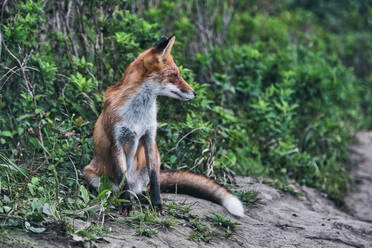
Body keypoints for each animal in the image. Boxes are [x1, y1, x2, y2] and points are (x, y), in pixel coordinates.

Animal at [83, 35, 244, 217]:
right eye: (174, 75)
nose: (195, 93)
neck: (138, 114)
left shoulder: (150, 138)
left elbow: (155, 180)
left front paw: (157, 205)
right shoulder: (116, 142)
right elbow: (123, 180)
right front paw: (126, 205)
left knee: (144, 188)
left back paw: (143, 198)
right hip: (91, 174)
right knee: (119, 189)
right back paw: (123, 198)